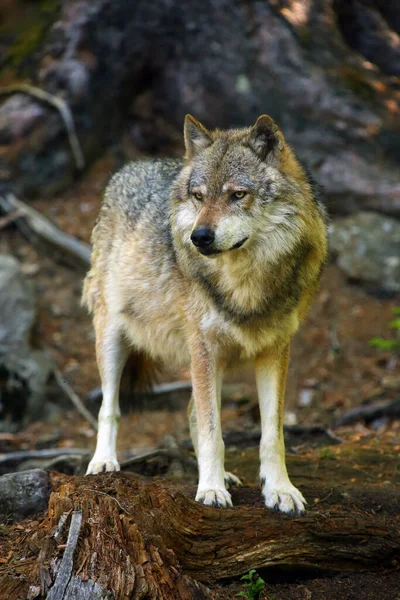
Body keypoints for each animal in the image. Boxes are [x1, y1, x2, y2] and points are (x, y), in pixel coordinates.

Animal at [82, 113, 328, 516]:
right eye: (198, 196)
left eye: (237, 194)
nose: (199, 237)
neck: (245, 284)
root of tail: (131, 167)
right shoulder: (203, 348)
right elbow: (214, 432)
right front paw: (210, 490)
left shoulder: (274, 351)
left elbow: (271, 434)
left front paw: (279, 490)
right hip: (114, 340)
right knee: (109, 407)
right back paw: (103, 462)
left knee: (191, 412)